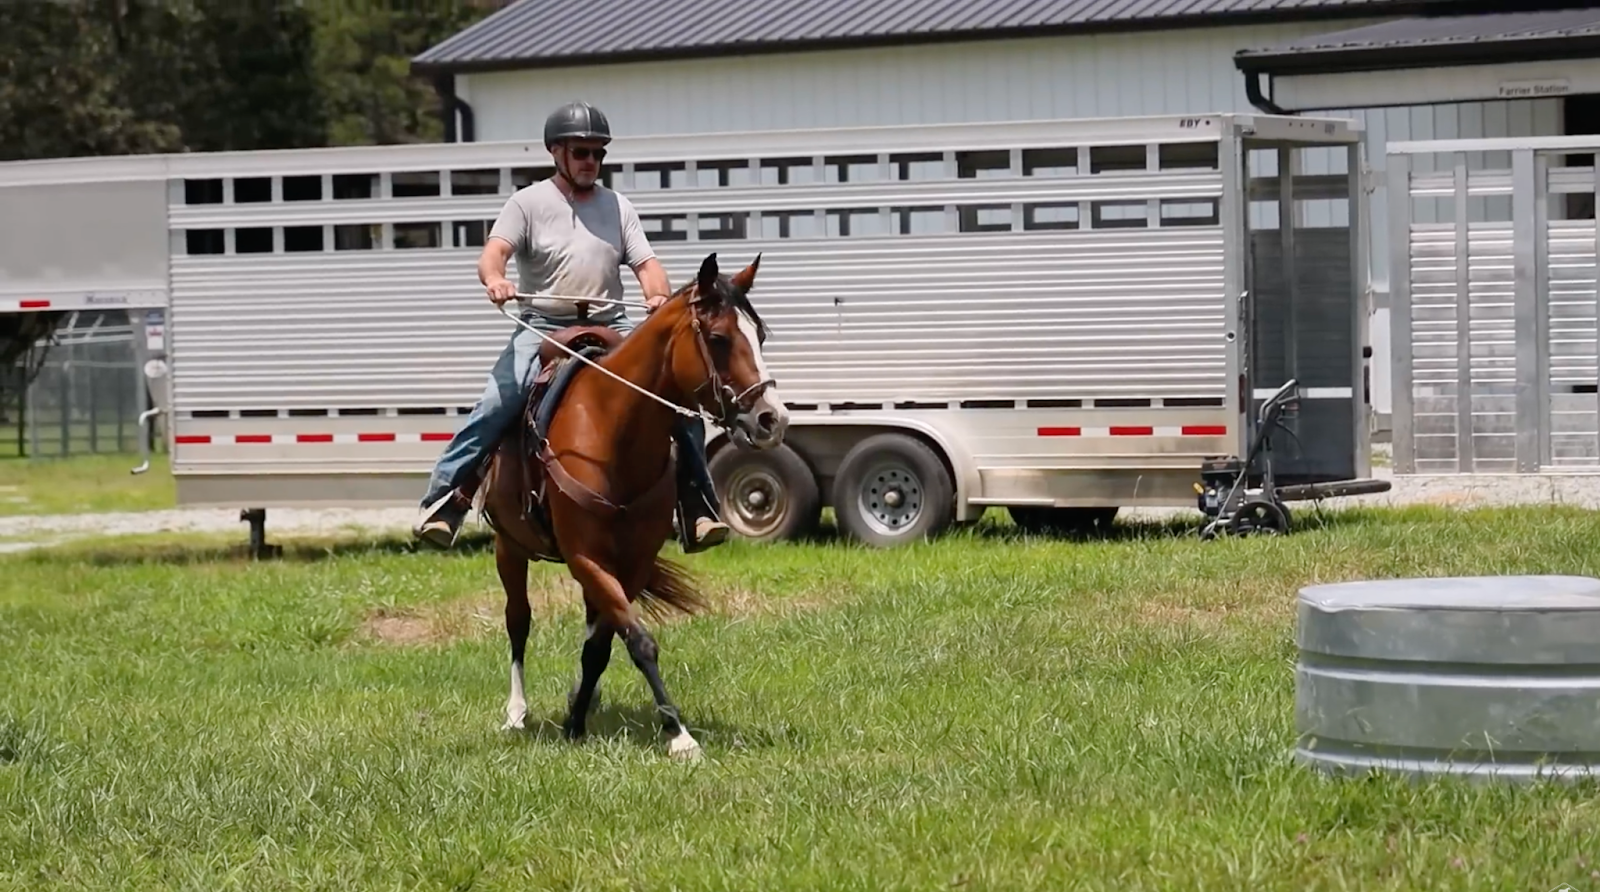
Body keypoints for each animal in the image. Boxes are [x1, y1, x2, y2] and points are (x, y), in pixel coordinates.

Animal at [474, 251, 788, 760]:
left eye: (759, 335)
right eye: (719, 339)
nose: (772, 419)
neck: (612, 430)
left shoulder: (635, 561)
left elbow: (601, 647)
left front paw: (577, 719)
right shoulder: (585, 557)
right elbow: (638, 640)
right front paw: (679, 736)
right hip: (509, 547)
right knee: (518, 620)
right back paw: (516, 713)